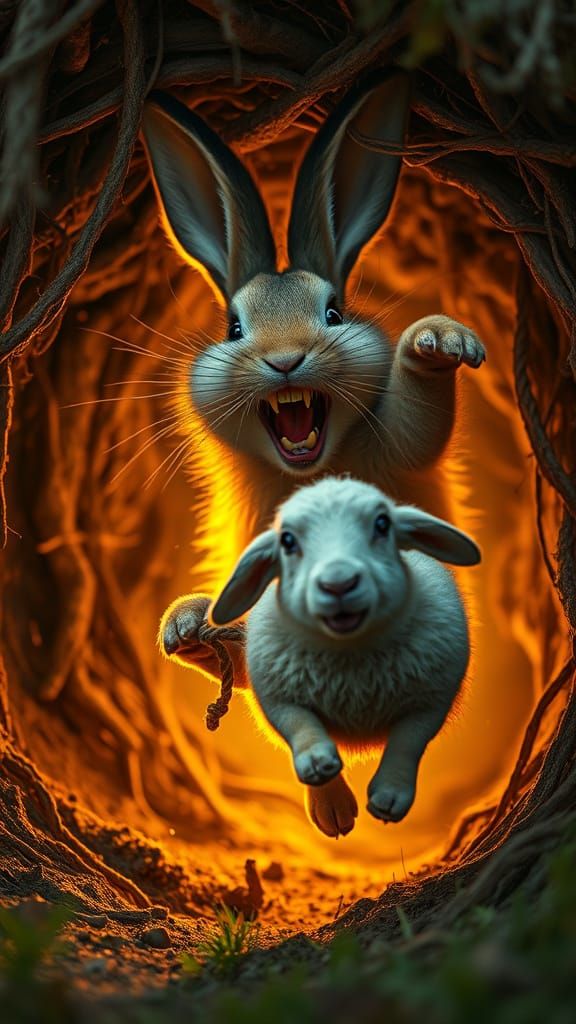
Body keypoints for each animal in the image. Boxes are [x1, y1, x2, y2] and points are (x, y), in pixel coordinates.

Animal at [141, 72, 485, 680]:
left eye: (332, 313)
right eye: (234, 327)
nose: (284, 361)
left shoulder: (398, 449)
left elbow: (420, 421)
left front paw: (439, 340)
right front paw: (184, 624)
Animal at [207, 476, 480, 838]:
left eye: (383, 524)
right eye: (287, 541)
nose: (338, 583)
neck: (350, 653)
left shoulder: (432, 700)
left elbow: (408, 741)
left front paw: (389, 796)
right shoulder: (277, 697)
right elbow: (300, 726)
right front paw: (321, 774)